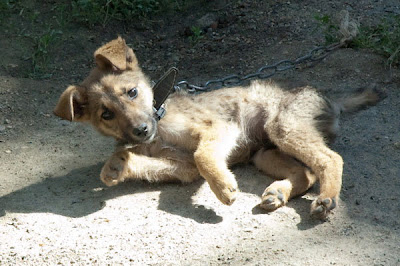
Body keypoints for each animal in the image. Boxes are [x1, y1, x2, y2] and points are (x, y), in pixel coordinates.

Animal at [54, 38, 382, 220]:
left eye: (132, 92)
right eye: (106, 114)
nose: (141, 130)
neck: (161, 123)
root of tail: (332, 100)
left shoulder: (218, 129)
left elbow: (204, 155)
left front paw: (223, 187)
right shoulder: (182, 167)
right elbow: (149, 162)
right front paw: (117, 165)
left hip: (283, 127)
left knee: (330, 159)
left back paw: (326, 199)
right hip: (265, 152)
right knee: (306, 173)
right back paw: (278, 193)